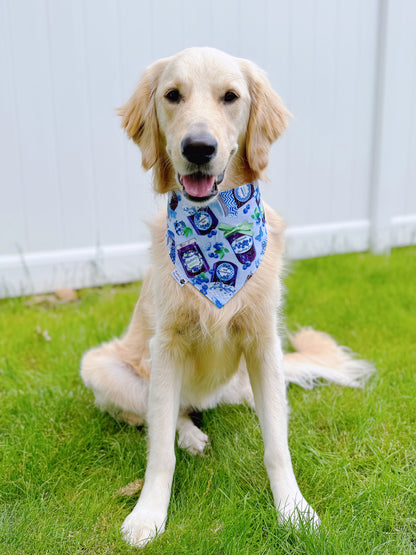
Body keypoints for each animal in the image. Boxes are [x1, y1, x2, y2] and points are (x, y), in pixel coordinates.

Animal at [80, 46, 374, 548]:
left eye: (231, 97)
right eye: (172, 95)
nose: (198, 148)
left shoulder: (263, 342)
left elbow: (277, 444)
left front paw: (293, 508)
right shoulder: (166, 345)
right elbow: (159, 449)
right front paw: (148, 515)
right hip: (99, 366)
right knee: (161, 415)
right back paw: (190, 435)